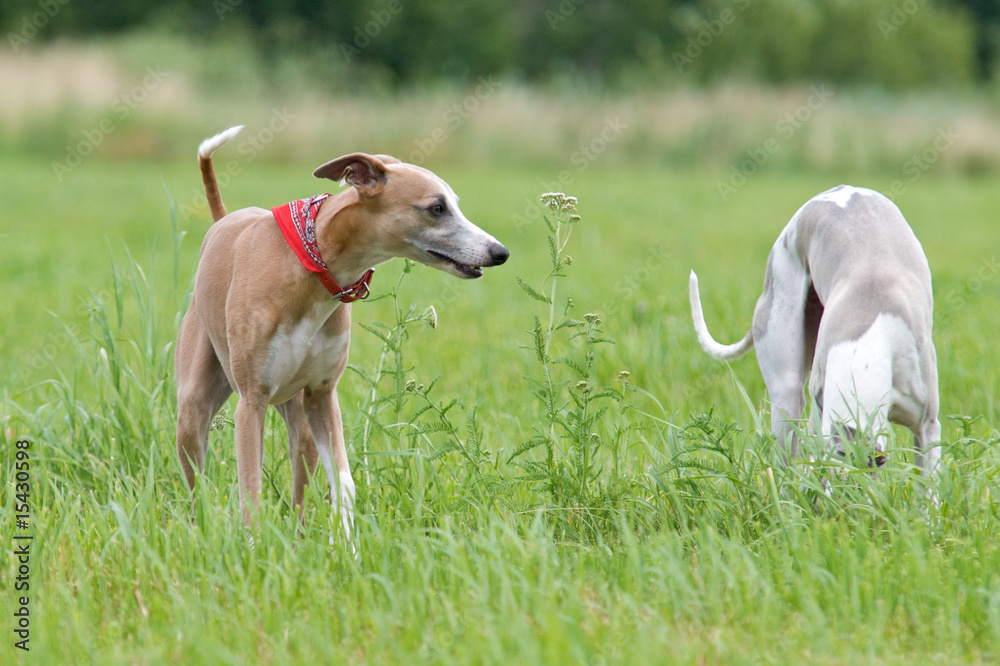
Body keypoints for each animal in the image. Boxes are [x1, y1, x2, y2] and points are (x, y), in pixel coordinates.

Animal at [173, 127, 512, 544]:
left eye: (455, 205)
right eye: (437, 208)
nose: (500, 252)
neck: (312, 262)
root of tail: (224, 219)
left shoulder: (322, 395)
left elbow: (345, 482)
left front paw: (346, 546)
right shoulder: (252, 401)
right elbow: (250, 488)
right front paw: (254, 548)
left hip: (298, 412)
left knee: (301, 471)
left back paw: (300, 538)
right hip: (194, 411)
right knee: (196, 482)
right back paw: (198, 531)